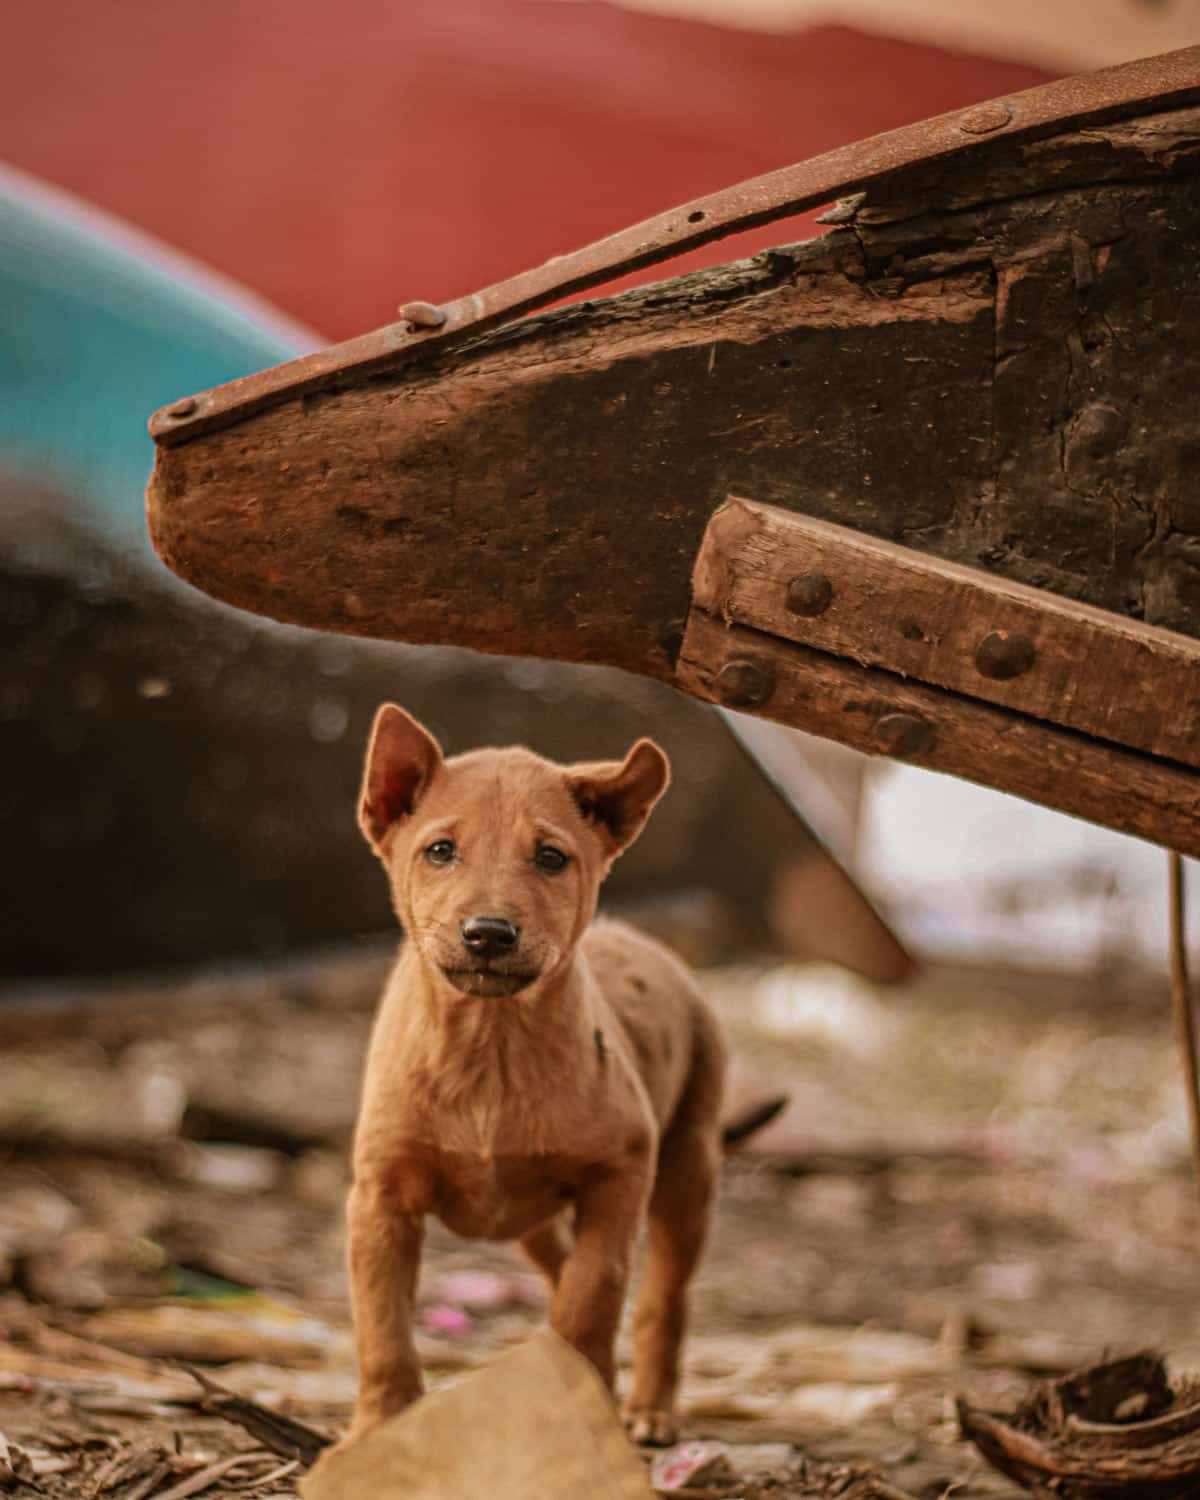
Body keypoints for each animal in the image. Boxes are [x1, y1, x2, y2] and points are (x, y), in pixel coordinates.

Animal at [342, 708, 726, 1446]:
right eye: (440, 850)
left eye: (550, 857)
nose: (488, 934)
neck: (491, 1050)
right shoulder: (380, 1200)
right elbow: (383, 1325)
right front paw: (380, 1425)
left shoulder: (620, 1176)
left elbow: (594, 1294)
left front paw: (583, 1405)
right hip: (535, 1221)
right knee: (560, 1264)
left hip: (688, 1169)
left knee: (662, 1296)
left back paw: (649, 1409)